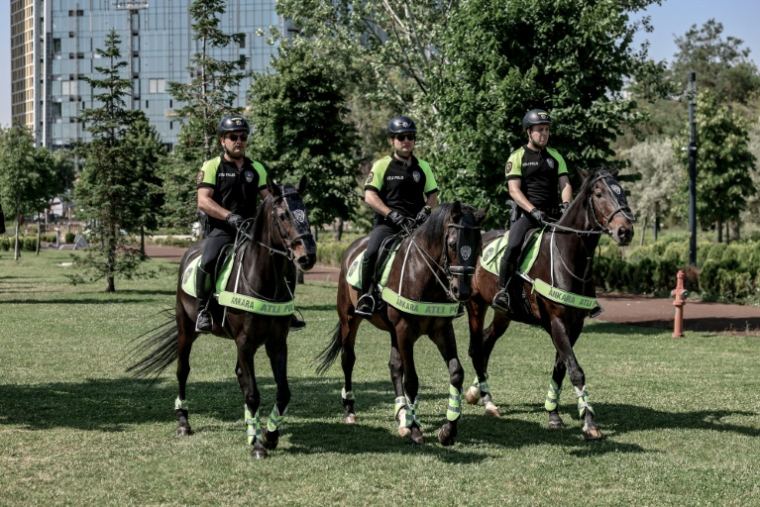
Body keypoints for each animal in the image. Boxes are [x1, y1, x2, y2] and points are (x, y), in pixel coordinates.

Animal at [128, 176, 316, 459]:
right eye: (283, 215)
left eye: (306, 212)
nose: (308, 256)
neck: (263, 278)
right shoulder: (245, 342)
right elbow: (253, 393)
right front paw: (258, 444)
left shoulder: (276, 343)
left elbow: (282, 392)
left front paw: (269, 434)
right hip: (186, 330)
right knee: (182, 371)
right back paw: (183, 421)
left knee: (240, 376)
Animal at [317, 202, 488, 446]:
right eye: (452, 244)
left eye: (478, 246)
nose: (462, 291)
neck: (425, 274)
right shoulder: (405, 331)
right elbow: (412, 380)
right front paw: (416, 430)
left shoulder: (441, 330)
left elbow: (456, 373)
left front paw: (448, 429)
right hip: (349, 318)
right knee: (348, 359)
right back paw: (350, 410)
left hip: (392, 331)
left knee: (394, 366)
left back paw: (402, 413)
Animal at [464, 168, 634, 440]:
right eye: (598, 194)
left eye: (622, 191)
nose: (625, 231)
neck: (568, 256)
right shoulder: (556, 322)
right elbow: (575, 370)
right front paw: (589, 422)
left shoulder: (574, 325)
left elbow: (560, 368)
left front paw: (553, 414)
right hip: (476, 304)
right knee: (476, 348)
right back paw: (488, 402)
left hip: (504, 313)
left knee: (486, 341)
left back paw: (477, 392)